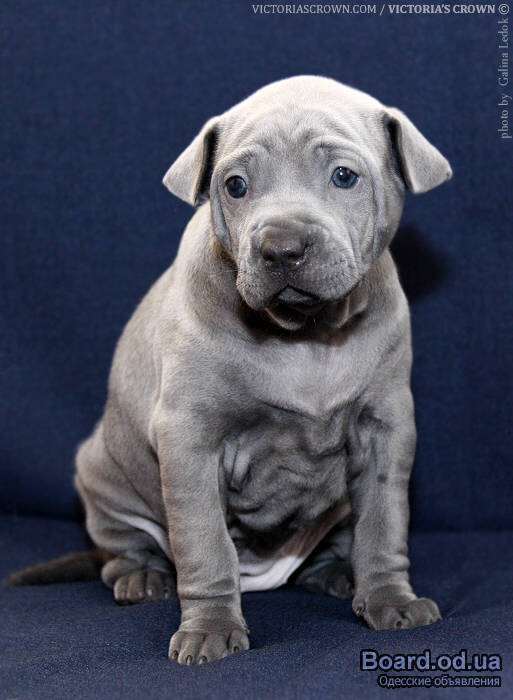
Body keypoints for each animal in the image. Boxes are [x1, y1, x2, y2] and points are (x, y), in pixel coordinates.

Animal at [7, 76, 452, 665]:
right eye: (235, 185)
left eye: (344, 176)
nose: (281, 247)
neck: (304, 335)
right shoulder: (189, 439)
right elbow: (204, 542)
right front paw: (210, 628)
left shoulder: (387, 429)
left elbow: (383, 523)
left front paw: (389, 599)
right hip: (103, 476)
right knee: (121, 549)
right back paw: (143, 578)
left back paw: (336, 572)